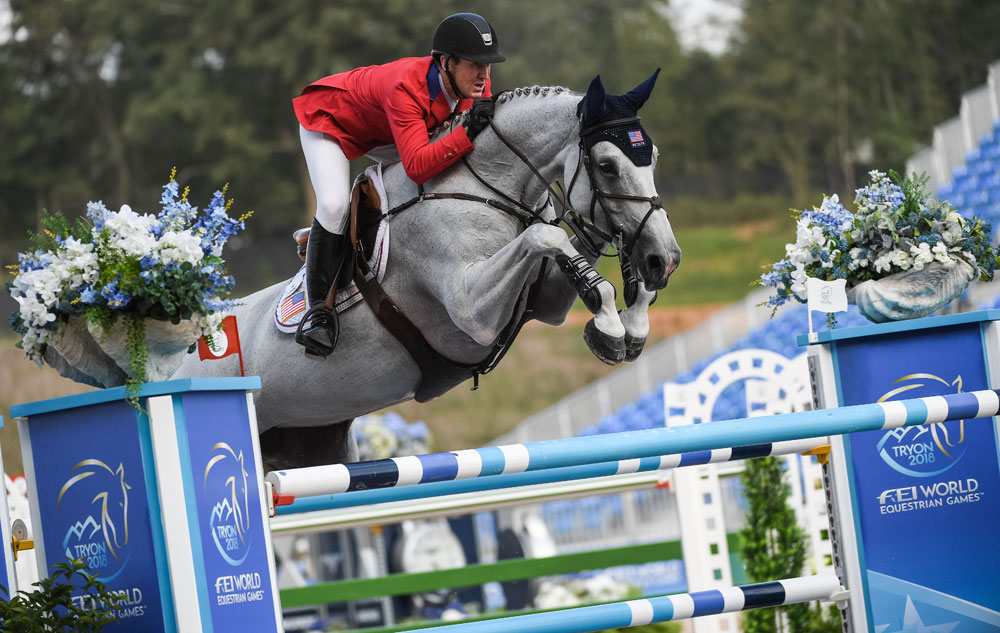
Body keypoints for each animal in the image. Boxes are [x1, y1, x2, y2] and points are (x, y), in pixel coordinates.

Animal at [176, 71, 684, 472]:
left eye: (655, 157)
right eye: (607, 165)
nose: (665, 260)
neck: (485, 187)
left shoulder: (547, 302)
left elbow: (575, 262)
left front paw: (631, 321)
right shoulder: (471, 309)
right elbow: (547, 237)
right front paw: (613, 329)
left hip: (312, 444)